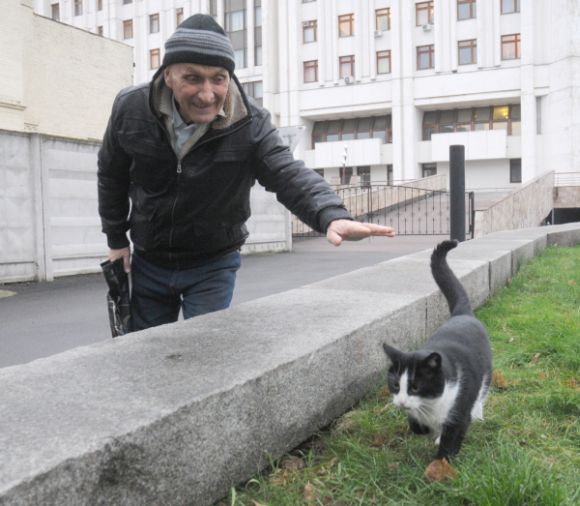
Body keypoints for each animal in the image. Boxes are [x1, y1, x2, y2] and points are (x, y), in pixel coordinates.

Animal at [382, 241, 492, 462]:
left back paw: (478, 414)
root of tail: (462, 314)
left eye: (415, 386)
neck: (430, 405)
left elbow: (451, 439)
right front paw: (426, 429)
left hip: (485, 372)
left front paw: (442, 463)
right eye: (396, 385)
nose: (401, 402)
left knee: (482, 392)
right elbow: (418, 427)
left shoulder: (459, 411)